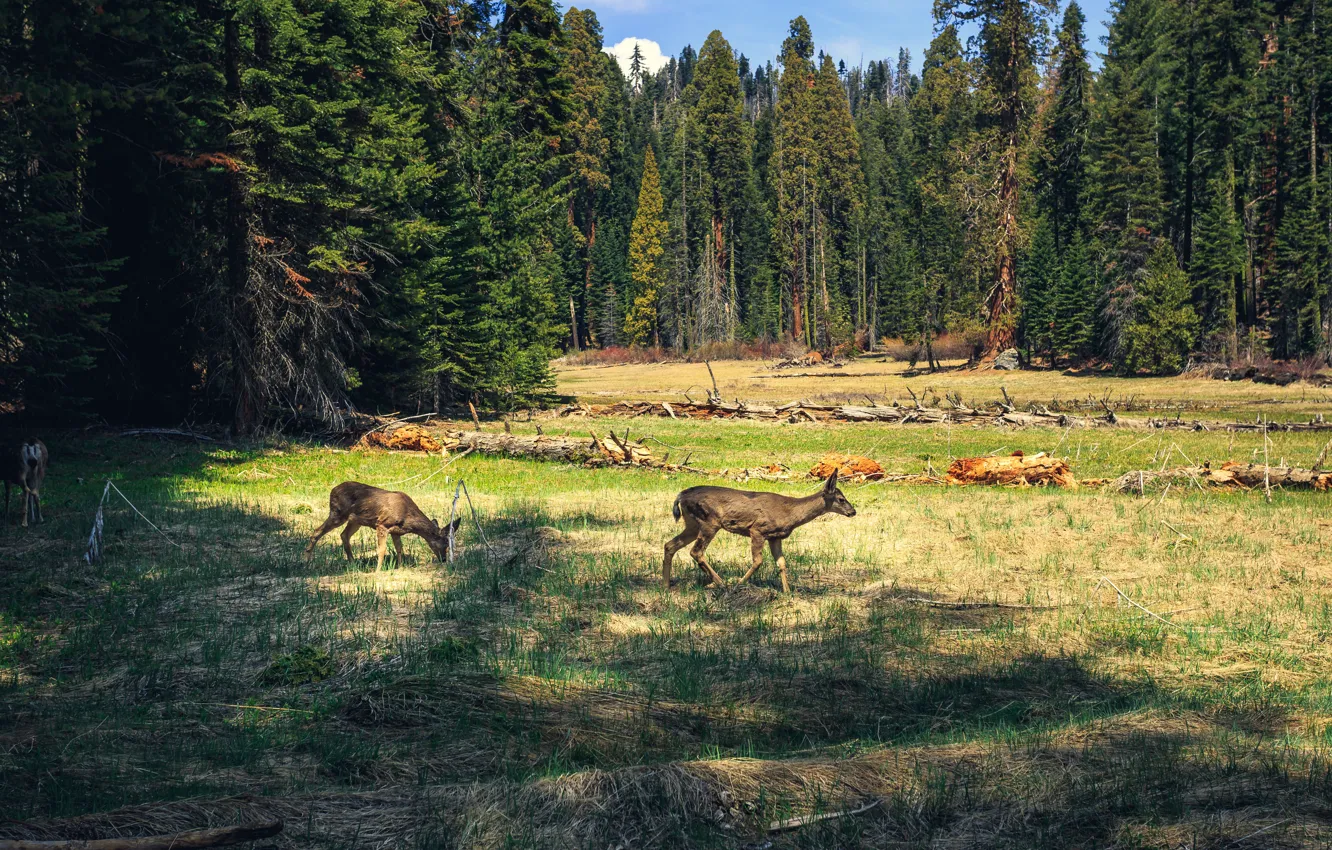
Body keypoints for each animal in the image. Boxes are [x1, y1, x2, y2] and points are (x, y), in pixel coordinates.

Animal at [304, 481, 461, 569]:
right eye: (445, 543)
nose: (444, 559)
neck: (407, 516)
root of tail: (332, 490)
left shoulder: (396, 531)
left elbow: (399, 548)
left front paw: (400, 566)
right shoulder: (382, 524)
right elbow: (382, 550)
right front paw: (378, 571)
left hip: (355, 520)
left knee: (344, 535)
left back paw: (352, 562)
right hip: (338, 513)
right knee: (317, 531)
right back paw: (307, 561)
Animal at [663, 470, 856, 593]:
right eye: (841, 499)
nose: (853, 511)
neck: (790, 513)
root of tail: (680, 495)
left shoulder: (775, 537)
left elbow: (782, 563)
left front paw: (788, 592)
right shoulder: (757, 530)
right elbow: (758, 561)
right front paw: (738, 584)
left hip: (692, 524)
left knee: (670, 545)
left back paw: (666, 585)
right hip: (709, 521)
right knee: (696, 551)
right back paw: (721, 583)